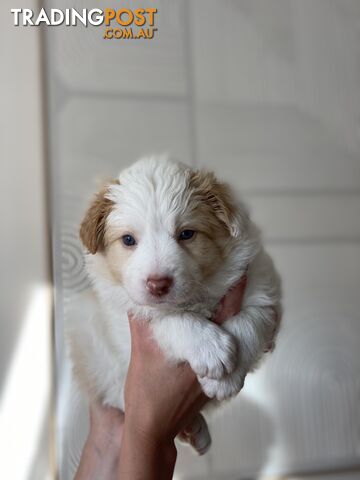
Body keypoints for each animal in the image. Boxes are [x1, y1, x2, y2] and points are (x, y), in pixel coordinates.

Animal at [67, 156, 282, 456]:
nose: (158, 284)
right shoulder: (127, 313)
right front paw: (210, 349)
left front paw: (226, 378)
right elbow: (168, 318)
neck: (196, 297)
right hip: (90, 339)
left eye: (187, 234)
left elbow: (250, 321)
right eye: (128, 240)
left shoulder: (263, 288)